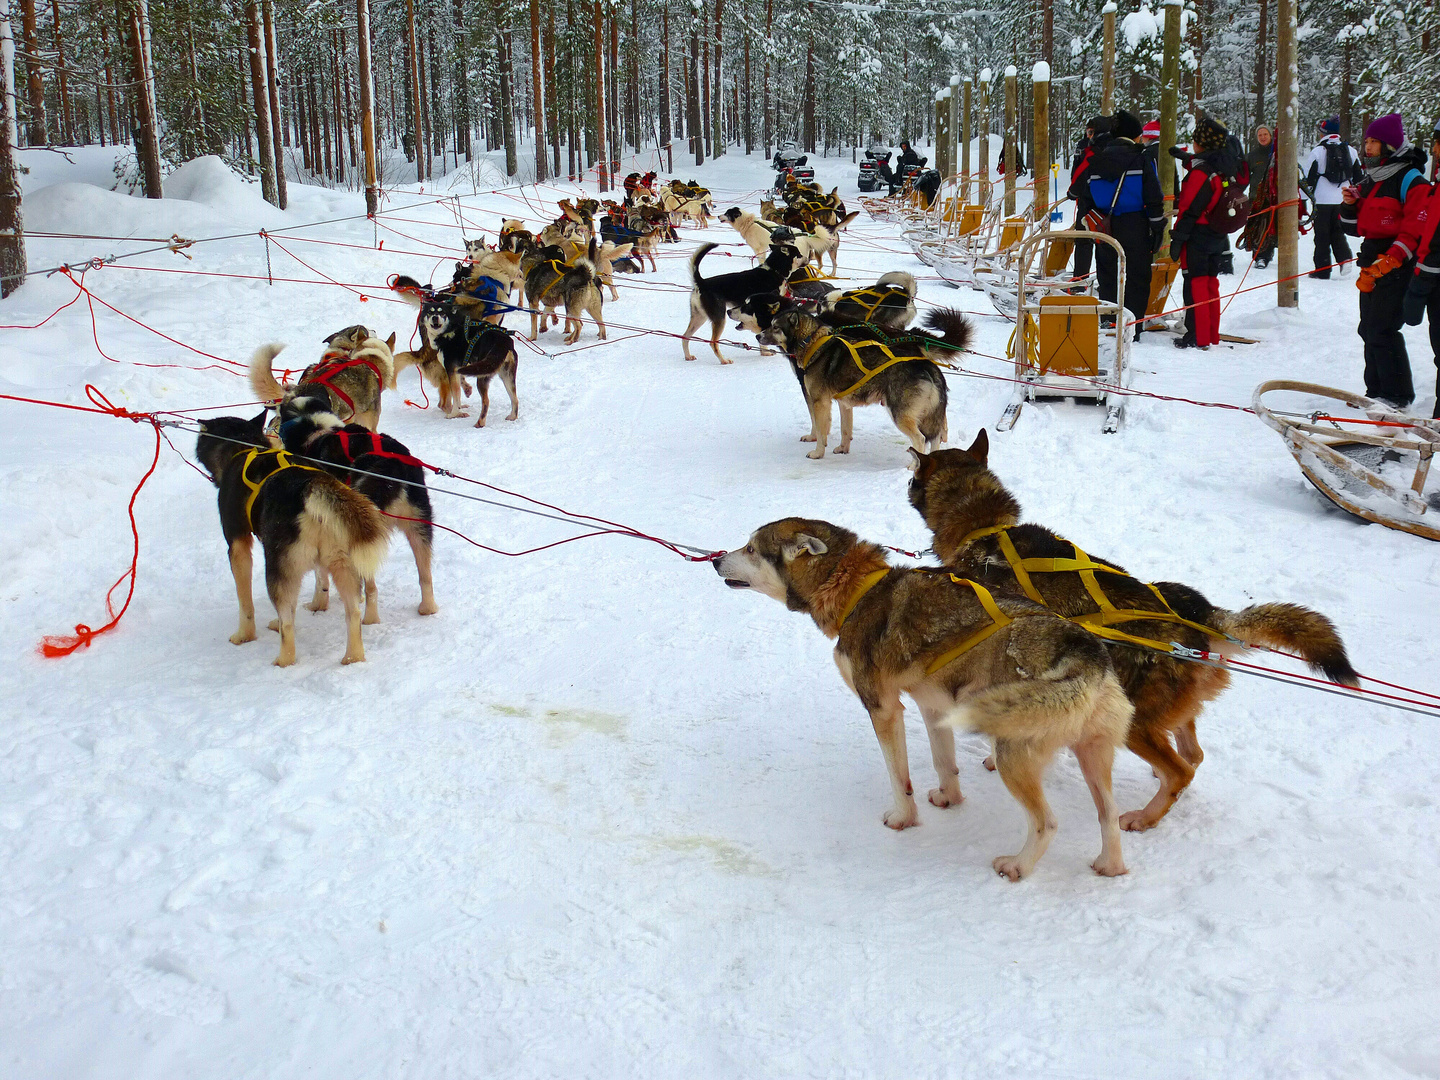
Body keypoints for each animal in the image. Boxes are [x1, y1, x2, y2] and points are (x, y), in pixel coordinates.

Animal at [197, 411, 391, 668]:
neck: (245, 446)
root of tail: (311, 487)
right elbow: (320, 583)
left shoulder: (237, 544)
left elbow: (245, 601)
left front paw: (244, 635)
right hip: (343, 565)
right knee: (353, 614)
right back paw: (353, 657)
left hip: (278, 570)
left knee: (287, 623)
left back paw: (283, 661)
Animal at [711, 521, 1134, 881]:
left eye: (750, 548)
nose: (715, 559)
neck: (858, 590)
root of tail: (1085, 652)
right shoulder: (935, 708)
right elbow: (943, 763)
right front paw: (950, 798)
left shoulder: (882, 708)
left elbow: (899, 778)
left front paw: (903, 818)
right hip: (1092, 754)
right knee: (1109, 814)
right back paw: (1110, 865)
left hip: (1013, 755)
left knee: (1047, 822)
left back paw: (1018, 865)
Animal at [910, 434, 1359, 835]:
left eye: (913, 475)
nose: (906, 481)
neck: (985, 530)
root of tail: (1201, 618)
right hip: (1166, 713)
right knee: (1193, 755)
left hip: (1136, 722)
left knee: (1181, 771)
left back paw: (1145, 817)